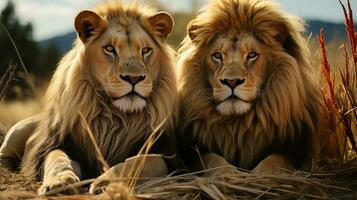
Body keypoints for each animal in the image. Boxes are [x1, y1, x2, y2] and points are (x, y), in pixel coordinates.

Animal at [0, 1, 177, 195]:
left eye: (146, 50)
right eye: (109, 49)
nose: (134, 78)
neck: (116, 119)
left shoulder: (168, 155)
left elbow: (142, 161)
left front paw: (106, 181)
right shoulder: (54, 144)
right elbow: (57, 158)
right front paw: (60, 182)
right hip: (17, 131)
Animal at [178, 0, 322, 175]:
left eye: (252, 55)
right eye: (217, 55)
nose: (232, 82)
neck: (238, 124)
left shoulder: (293, 150)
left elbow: (273, 161)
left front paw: (258, 176)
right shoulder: (194, 149)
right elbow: (213, 159)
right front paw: (230, 175)